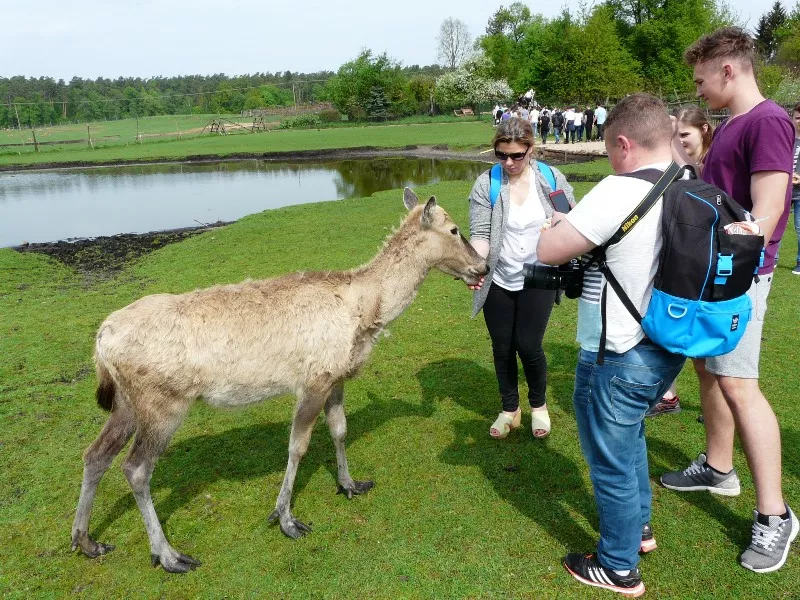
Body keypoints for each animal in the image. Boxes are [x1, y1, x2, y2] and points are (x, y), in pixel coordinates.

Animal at [70, 188, 488, 572]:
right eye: (454, 229)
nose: (482, 267)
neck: (365, 315)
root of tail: (101, 341)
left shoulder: (336, 377)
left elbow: (339, 429)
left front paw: (350, 484)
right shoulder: (313, 379)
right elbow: (297, 446)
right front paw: (285, 517)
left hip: (125, 402)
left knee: (95, 454)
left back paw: (86, 541)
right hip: (162, 401)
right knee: (136, 467)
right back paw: (169, 554)